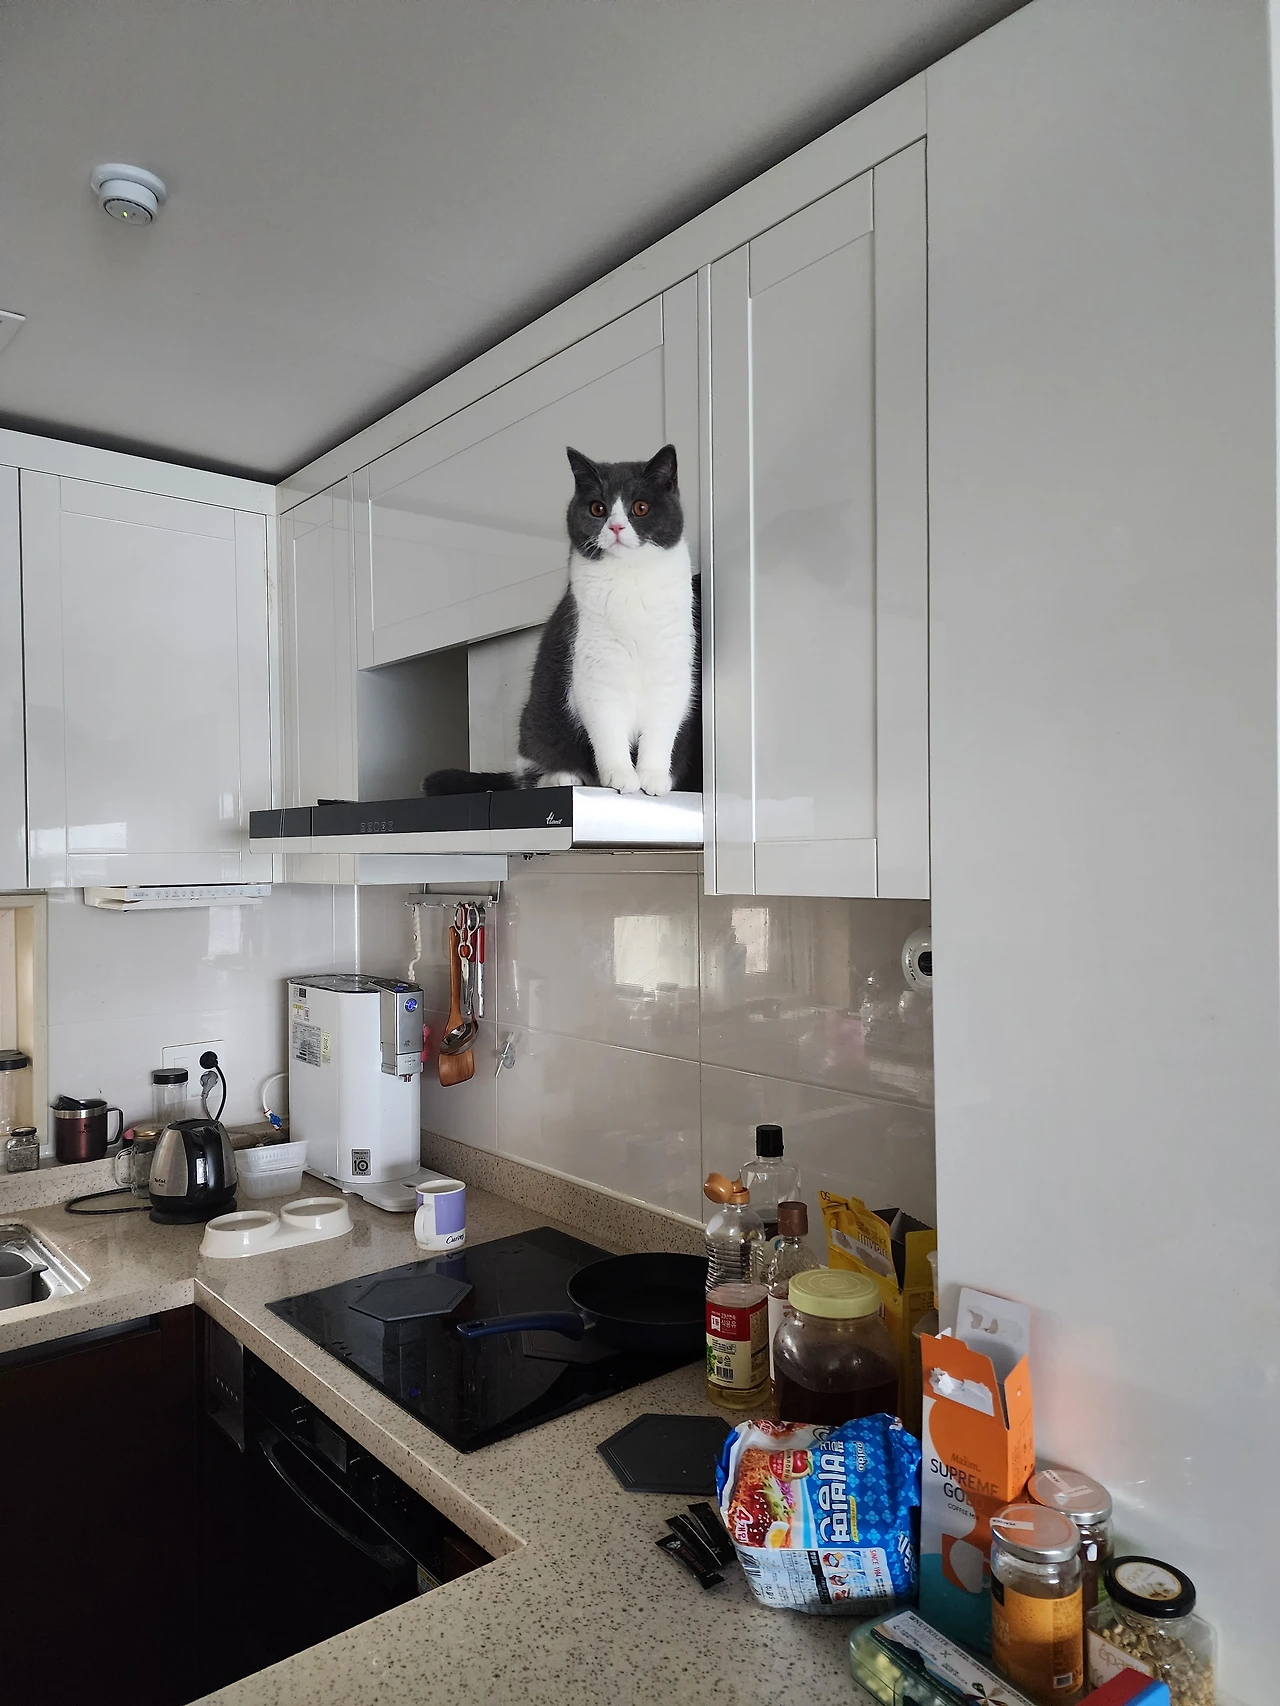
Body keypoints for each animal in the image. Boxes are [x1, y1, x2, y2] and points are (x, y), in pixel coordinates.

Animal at [424, 443, 701, 797]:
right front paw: (621, 775)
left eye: (640, 507)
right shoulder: (594, 667)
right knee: (530, 774)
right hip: (537, 723)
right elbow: (607, 726)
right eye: (598, 508)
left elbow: (662, 727)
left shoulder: (672, 667)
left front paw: (652, 777)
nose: (615, 527)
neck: (630, 581)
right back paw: (563, 776)